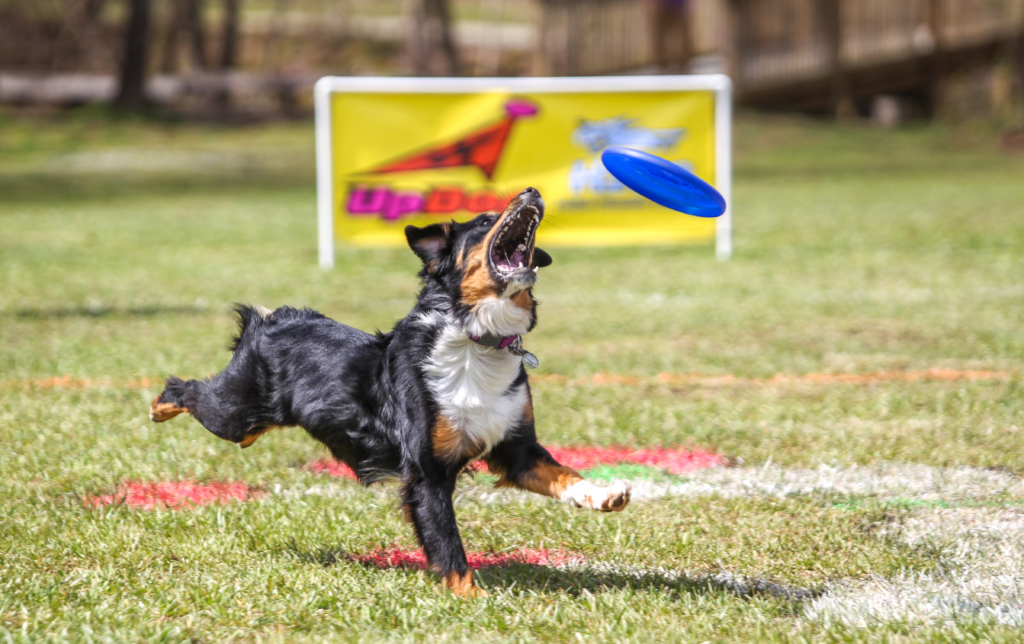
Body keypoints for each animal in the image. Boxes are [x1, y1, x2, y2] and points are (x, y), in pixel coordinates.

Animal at [149, 187, 630, 597]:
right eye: (485, 219)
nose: (531, 191)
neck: (477, 342)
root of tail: (276, 319)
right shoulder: (427, 473)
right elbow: (448, 545)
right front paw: (472, 599)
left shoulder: (516, 448)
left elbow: (562, 474)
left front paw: (605, 494)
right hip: (235, 412)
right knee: (187, 389)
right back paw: (158, 407)